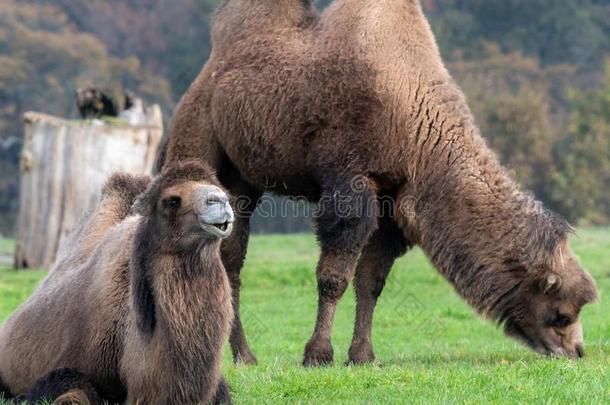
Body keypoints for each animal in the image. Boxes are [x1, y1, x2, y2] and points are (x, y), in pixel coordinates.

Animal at [154, 0, 596, 364]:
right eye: (561, 313)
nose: (577, 351)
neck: (412, 122)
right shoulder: (351, 181)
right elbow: (334, 276)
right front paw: (318, 354)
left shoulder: (392, 200)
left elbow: (371, 282)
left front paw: (363, 355)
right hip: (199, 139)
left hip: (243, 181)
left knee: (230, 256)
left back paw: (242, 355)